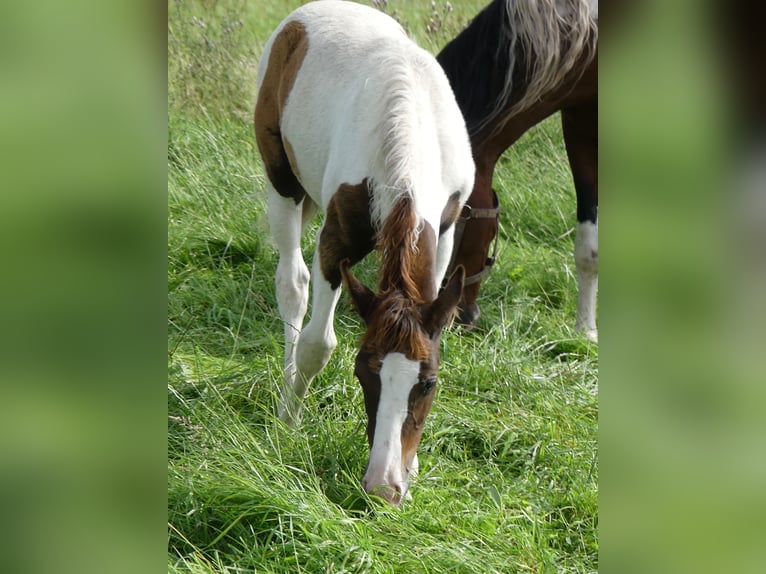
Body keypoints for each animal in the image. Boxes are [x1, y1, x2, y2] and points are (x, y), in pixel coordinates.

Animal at [255, 0, 476, 506]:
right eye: (362, 373)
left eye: (428, 383)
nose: (384, 488)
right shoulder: (334, 241)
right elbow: (318, 344)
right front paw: (290, 422)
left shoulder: (445, 232)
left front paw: (413, 468)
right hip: (283, 184)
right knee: (292, 285)